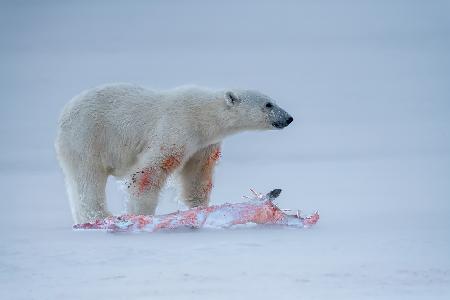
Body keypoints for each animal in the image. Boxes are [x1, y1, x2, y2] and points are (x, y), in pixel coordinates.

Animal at [55, 83, 296, 224]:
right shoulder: (177, 127)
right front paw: (141, 213)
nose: (288, 118)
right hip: (88, 136)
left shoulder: (203, 144)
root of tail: (64, 113)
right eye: (268, 104)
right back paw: (101, 217)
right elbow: (149, 172)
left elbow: (196, 176)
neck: (203, 116)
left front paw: (200, 208)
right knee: (89, 179)